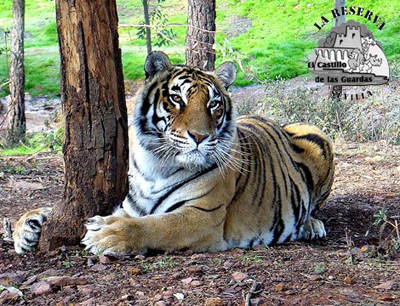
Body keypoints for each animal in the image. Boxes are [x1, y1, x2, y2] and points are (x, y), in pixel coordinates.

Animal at [12, 51, 334, 255]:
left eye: (213, 104)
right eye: (177, 98)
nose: (200, 136)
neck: (157, 164)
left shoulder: (202, 216)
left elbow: (159, 225)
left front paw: (108, 234)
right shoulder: (130, 203)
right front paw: (25, 226)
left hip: (318, 136)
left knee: (314, 206)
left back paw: (311, 225)